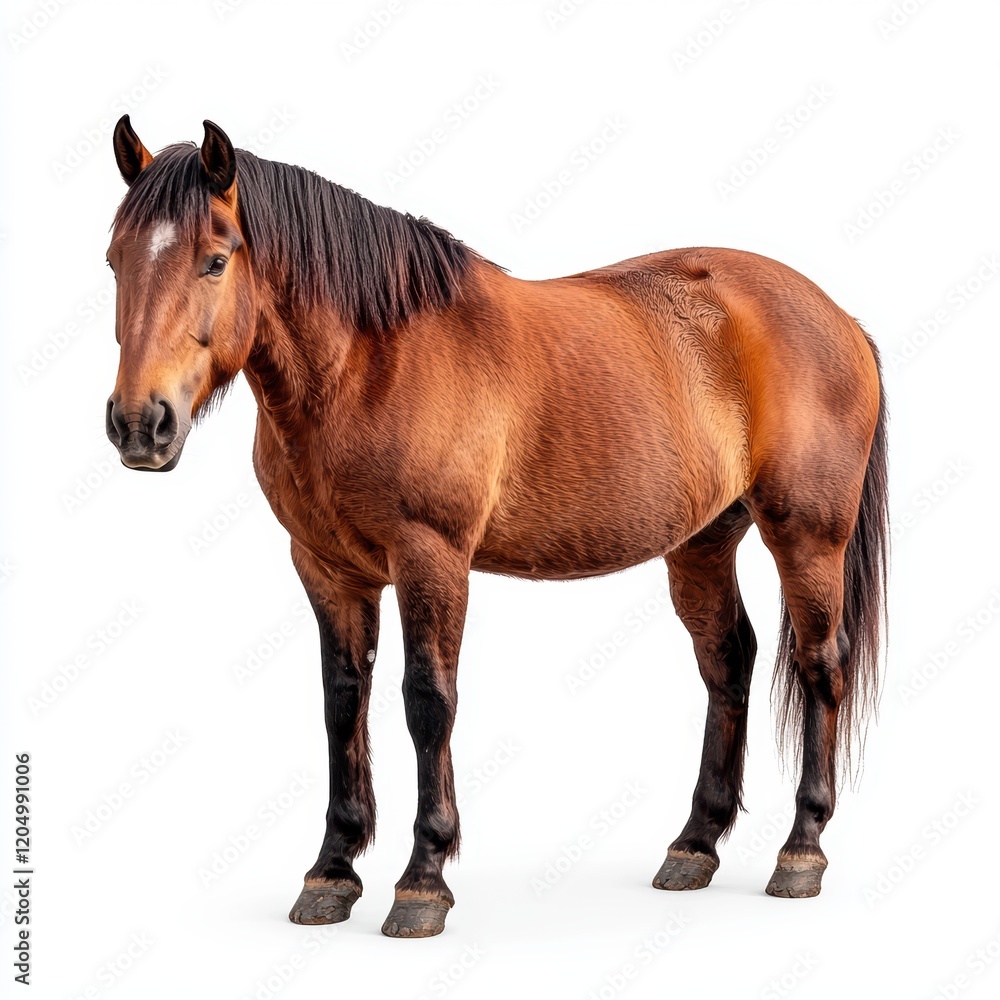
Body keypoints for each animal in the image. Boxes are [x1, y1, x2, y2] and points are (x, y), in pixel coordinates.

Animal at [104, 116, 888, 938]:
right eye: (115, 258)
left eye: (215, 259)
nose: (139, 425)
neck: (370, 361)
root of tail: (840, 318)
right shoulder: (326, 567)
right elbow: (342, 702)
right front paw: (332, 872)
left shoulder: (432, 558)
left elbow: (427, 701)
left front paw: (423, 879)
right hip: (701, 543)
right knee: (728, 662)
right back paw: (693, 846)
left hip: (808, 536)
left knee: (820, 666)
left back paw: (801, 851)